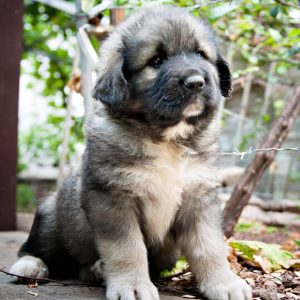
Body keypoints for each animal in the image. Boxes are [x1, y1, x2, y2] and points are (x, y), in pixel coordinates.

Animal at [9, 6, 252, 300]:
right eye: (156, 60)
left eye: (201, 54)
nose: (196, 82)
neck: (166, 138)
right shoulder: (113, 198)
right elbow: (127, 247)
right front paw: (133, 285)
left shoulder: (199, 196)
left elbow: (209, 245)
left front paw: (224, 283)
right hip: (52, 214)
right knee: (39, 248)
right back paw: (30, 265)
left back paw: (96, 270)